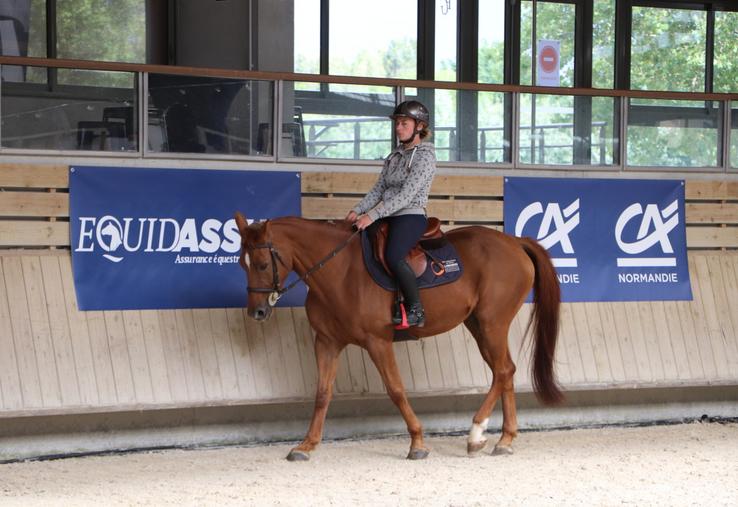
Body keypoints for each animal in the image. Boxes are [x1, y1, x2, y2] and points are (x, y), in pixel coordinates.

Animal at [233, 213, 560, 460]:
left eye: (262, 264)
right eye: (241, 264)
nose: (257, 312)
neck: (341, 271)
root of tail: (514, 242)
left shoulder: (377, 342)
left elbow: (396, 389)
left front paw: (417, 443)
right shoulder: (326, 342)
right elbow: (322, 393)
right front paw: (306, 445)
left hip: (493, 323)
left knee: (502, 371)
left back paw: (476, 433)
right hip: (478, 324)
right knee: (505, 371)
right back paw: (504, 439)